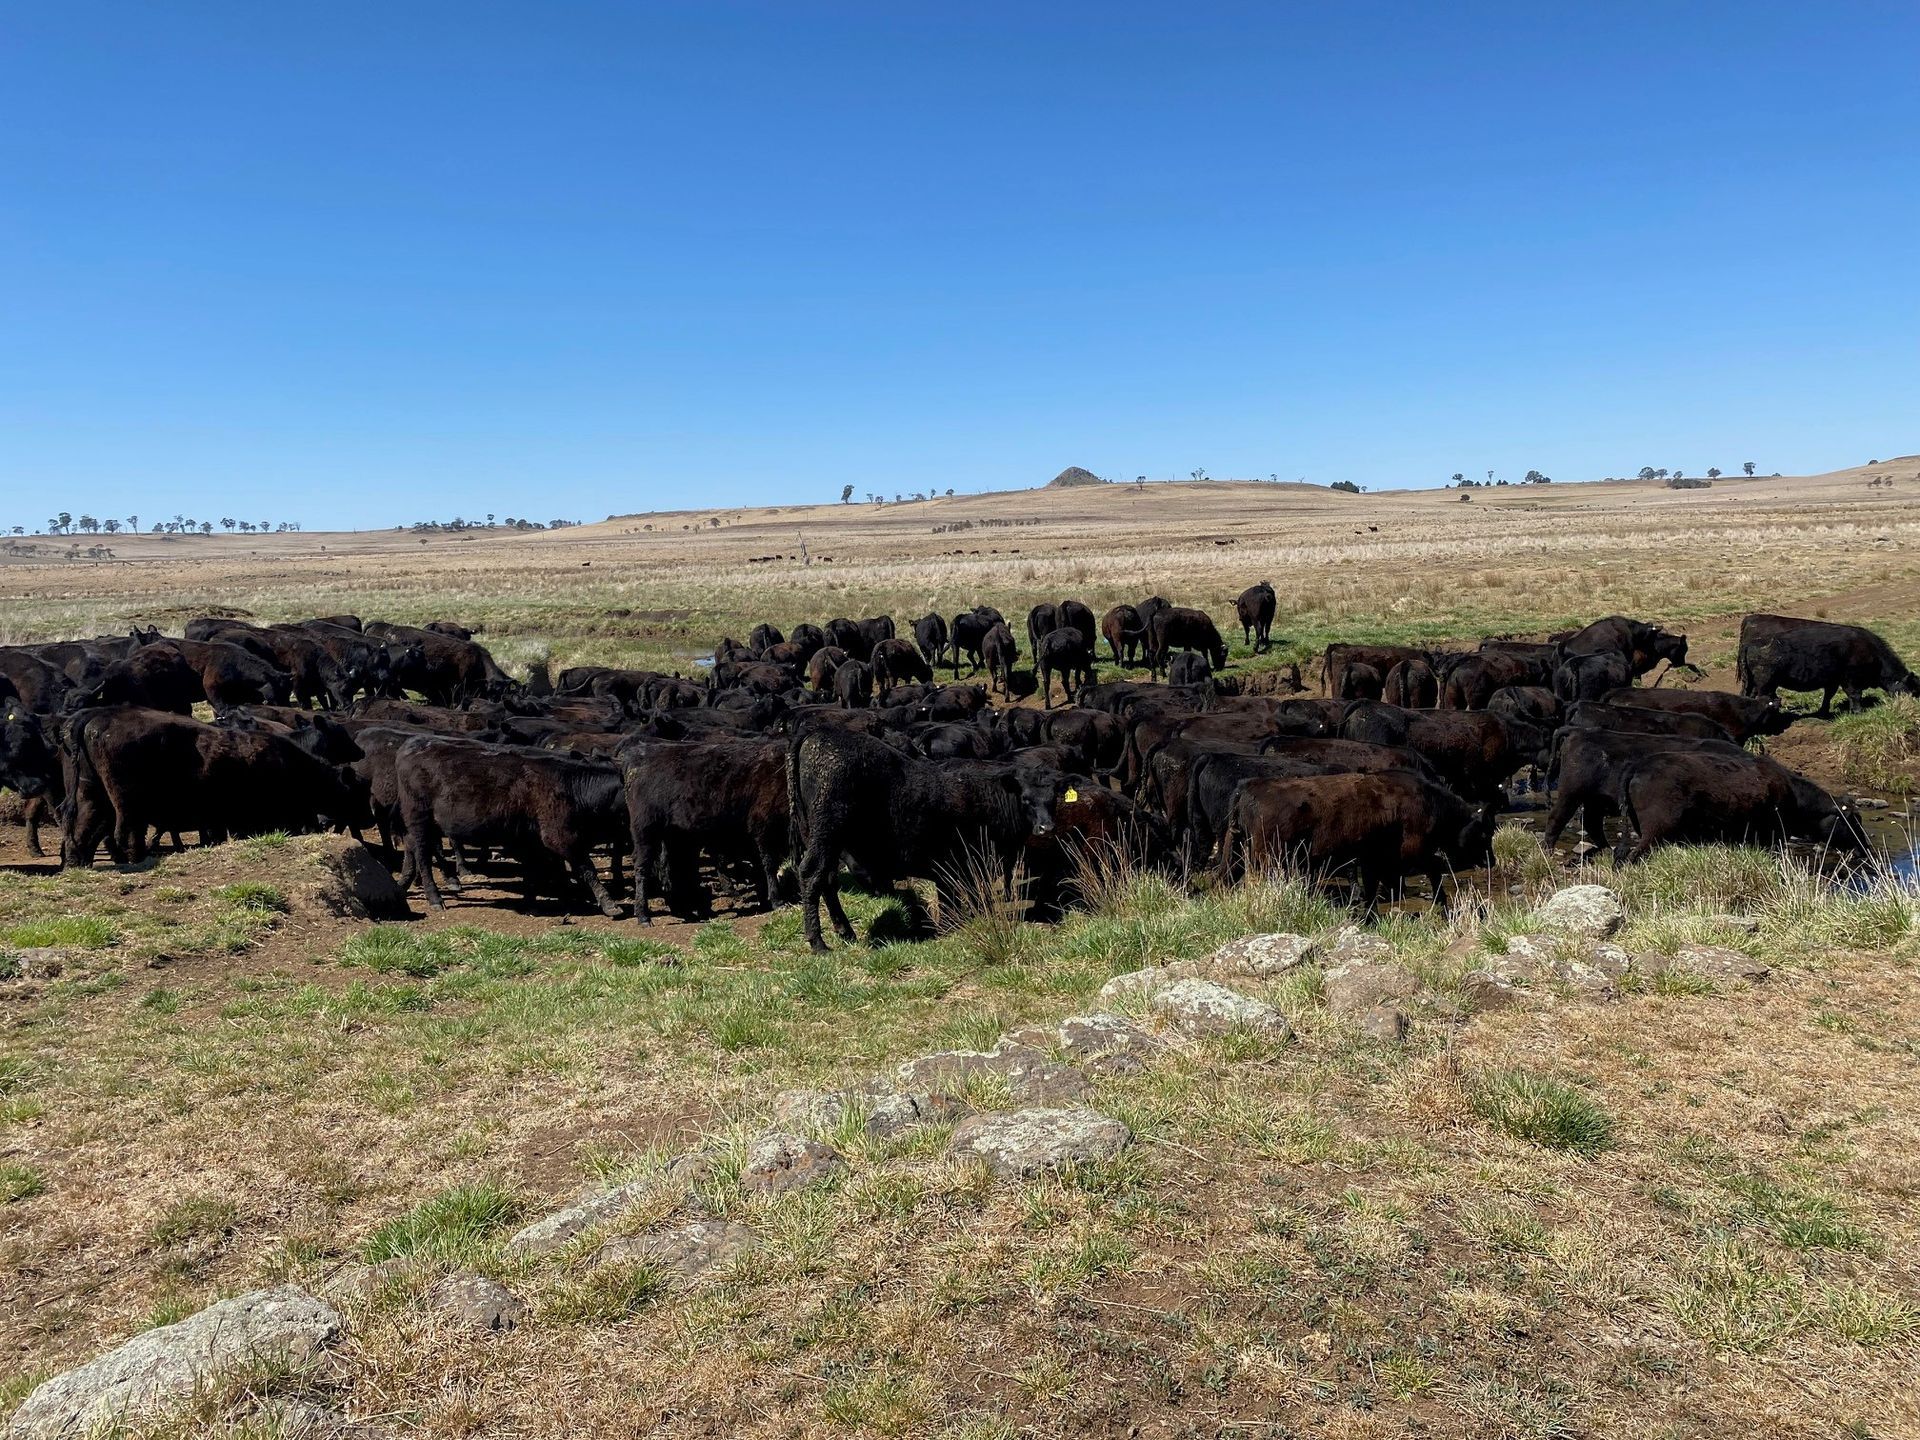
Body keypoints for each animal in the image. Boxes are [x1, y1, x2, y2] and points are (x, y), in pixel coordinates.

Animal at [786, 726, 1066, 951]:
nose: (1046, 827)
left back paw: (845, 931)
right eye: (1026, 799)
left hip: (823, 840)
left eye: (1053, 798)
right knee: (812, 874)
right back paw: (818, 942)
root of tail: (816, 733)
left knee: (827, 880)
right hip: (826, 833)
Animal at [1736, 614, 1918, 717]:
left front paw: (1823, 712)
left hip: (1754, 682)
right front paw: (1858, 712)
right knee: (1762, 698)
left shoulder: (1833, 680)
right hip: (1765, 683)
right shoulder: (1850, 678)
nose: (1911, 708)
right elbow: (1855, 695)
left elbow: (1828, 695)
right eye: (1910, 691)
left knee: (1748, 695)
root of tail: (1751, 643)